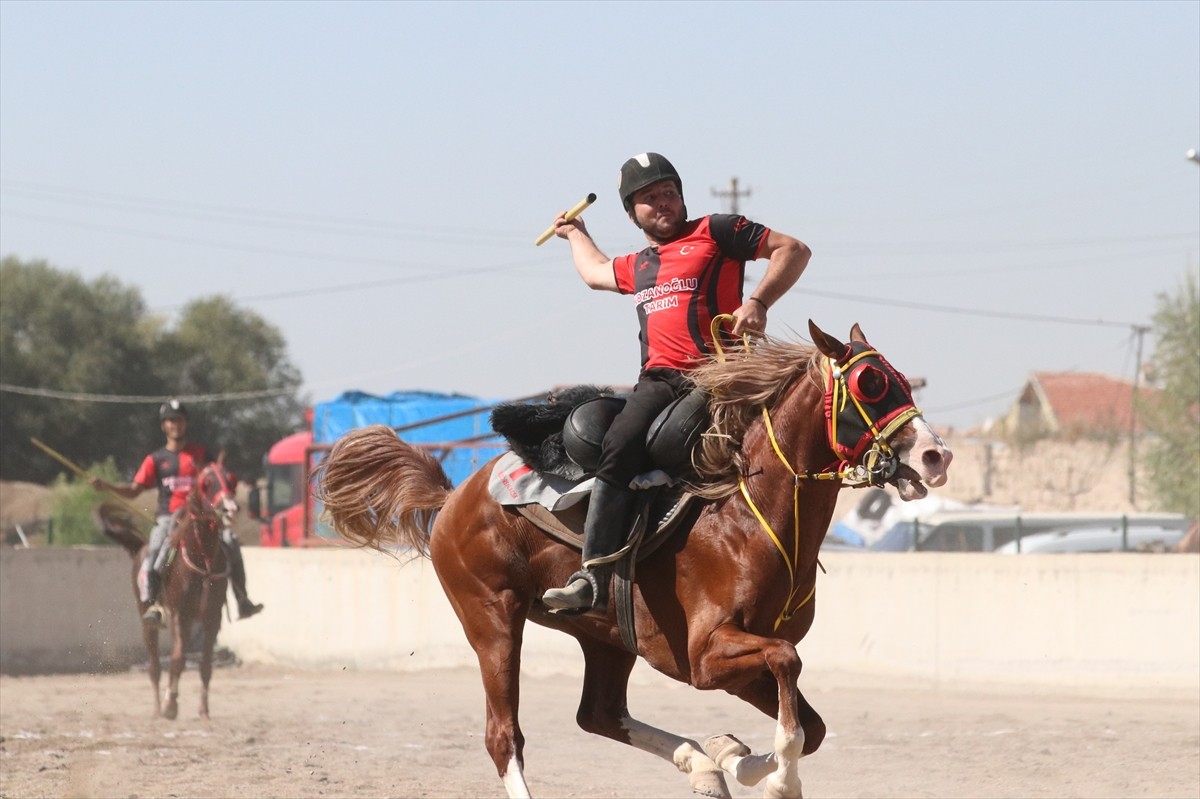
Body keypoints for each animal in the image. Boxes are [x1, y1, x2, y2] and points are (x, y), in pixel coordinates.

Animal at [96, 458, 234, 719]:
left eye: (232, 478)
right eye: (206, 482)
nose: (230, 508)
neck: (203, 559)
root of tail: (141, 548)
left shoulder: (212, 617)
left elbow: (205, 664)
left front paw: (204, 710)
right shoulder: (181, 614)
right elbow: (178, 659)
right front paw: (171, 705)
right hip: (147, 619)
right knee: (154, 665)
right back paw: (157, 708)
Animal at [319, 321, 955, 791]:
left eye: (901, 379)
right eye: (871, 383)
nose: (936, 456)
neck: (746, 516)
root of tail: (454, 494)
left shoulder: (731, 662)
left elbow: (810, 723)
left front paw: (732, 755)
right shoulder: (705, 656)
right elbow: (789, 675)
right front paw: (771, 778)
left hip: (605, 638)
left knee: (598, 714)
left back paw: (701, 766)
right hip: (492, 622)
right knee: (505, 737)